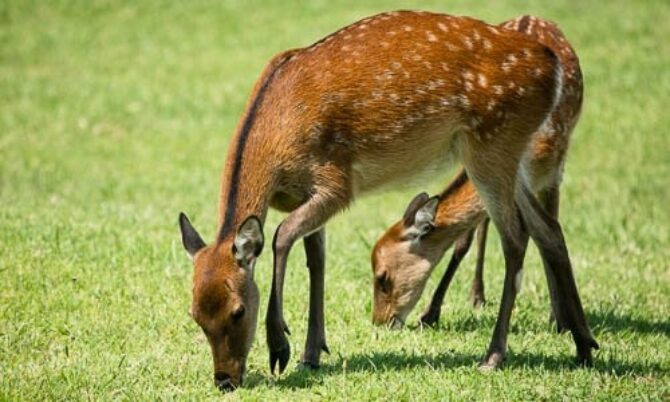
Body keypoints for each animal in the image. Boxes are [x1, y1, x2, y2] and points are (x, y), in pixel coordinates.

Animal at [372, 14, 588, 330]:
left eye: (383, 278)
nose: (379, 321)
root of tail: (532, 16)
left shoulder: (553, 175)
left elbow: (546, 236)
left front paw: (559, 318)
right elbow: (464, 240)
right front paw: (431, 312)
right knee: (481, 227)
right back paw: (477, 295)